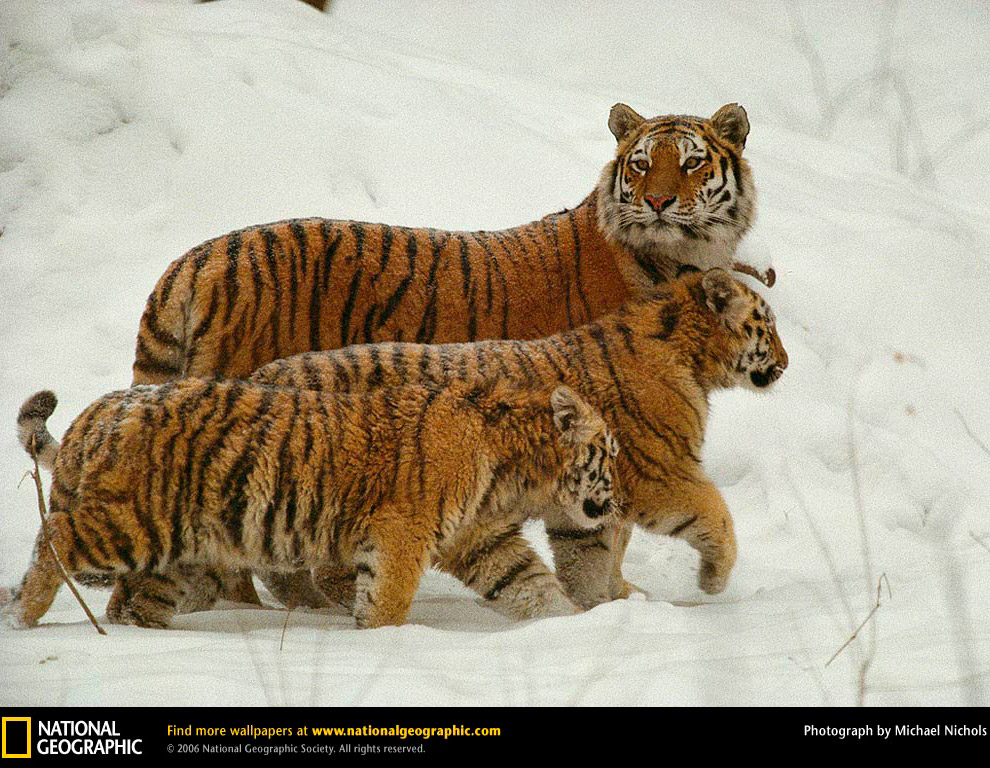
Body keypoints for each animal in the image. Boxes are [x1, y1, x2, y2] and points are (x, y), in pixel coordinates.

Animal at [132, 102, 768, 608]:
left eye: (690, 163)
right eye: (640, 164)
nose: (657, 201)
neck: (677, 259)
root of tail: (191, 263)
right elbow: (613, 527)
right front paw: (617, 598)